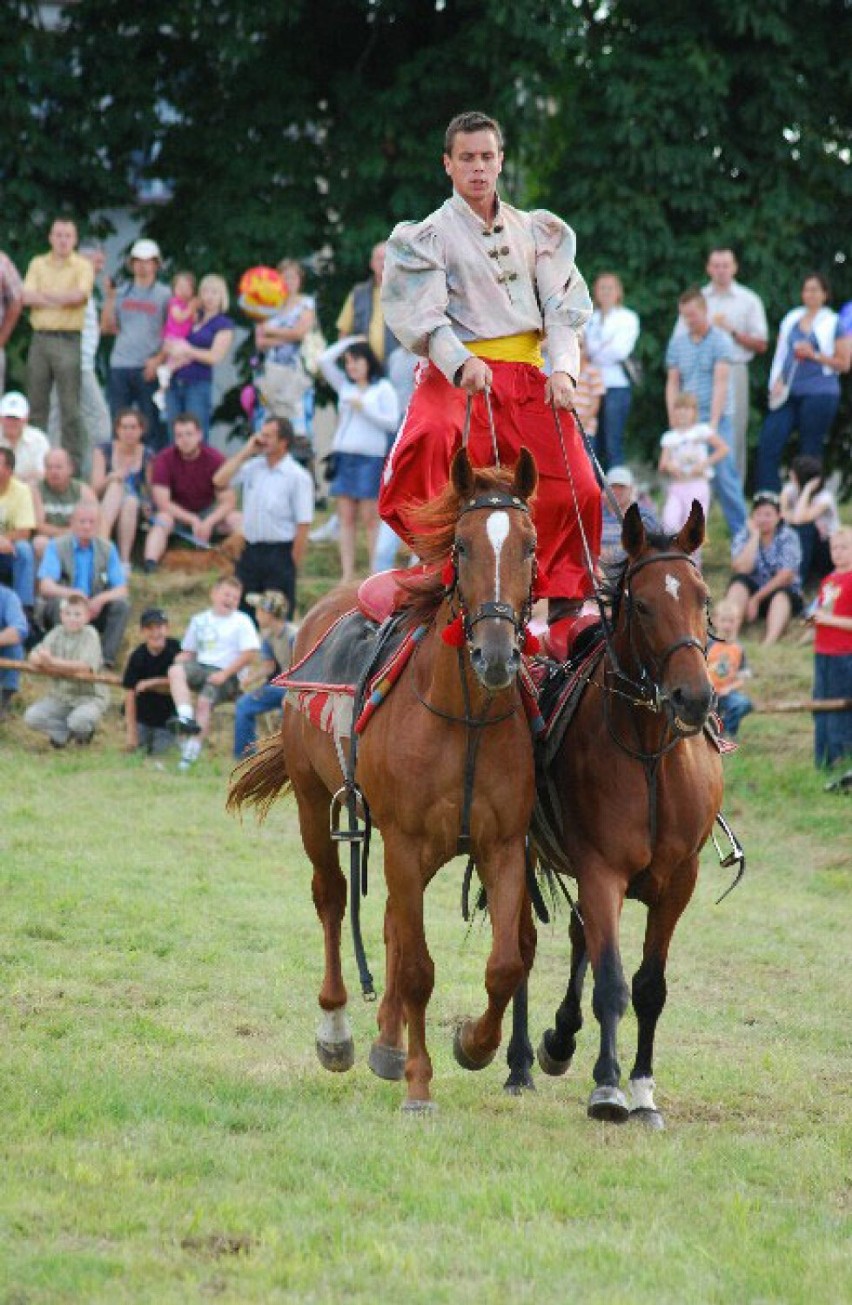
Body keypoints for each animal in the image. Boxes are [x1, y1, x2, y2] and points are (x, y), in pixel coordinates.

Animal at [227, 448, 537, 1111]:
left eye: (529, 547)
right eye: (462, 547)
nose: (497, 655)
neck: (465, 718)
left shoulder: (502, 847)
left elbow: (503, 963)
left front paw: (473, 1044)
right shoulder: (405, 843)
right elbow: (418, 967)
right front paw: (419, 1082)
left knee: (393, 923)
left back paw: (388, 1041)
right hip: (315, 804)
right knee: (332, 897)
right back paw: (339, 1031)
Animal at [524, 503, 725, 1127]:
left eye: (703, 597)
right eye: (642, 605)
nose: (693, 697)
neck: (650, 754)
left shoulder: (678, 881)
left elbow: (649, 986)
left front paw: (642, 1090)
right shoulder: (601, 871)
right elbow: (612, 982)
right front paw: (609, 1087)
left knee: (578, 936)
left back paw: (561, 1038)